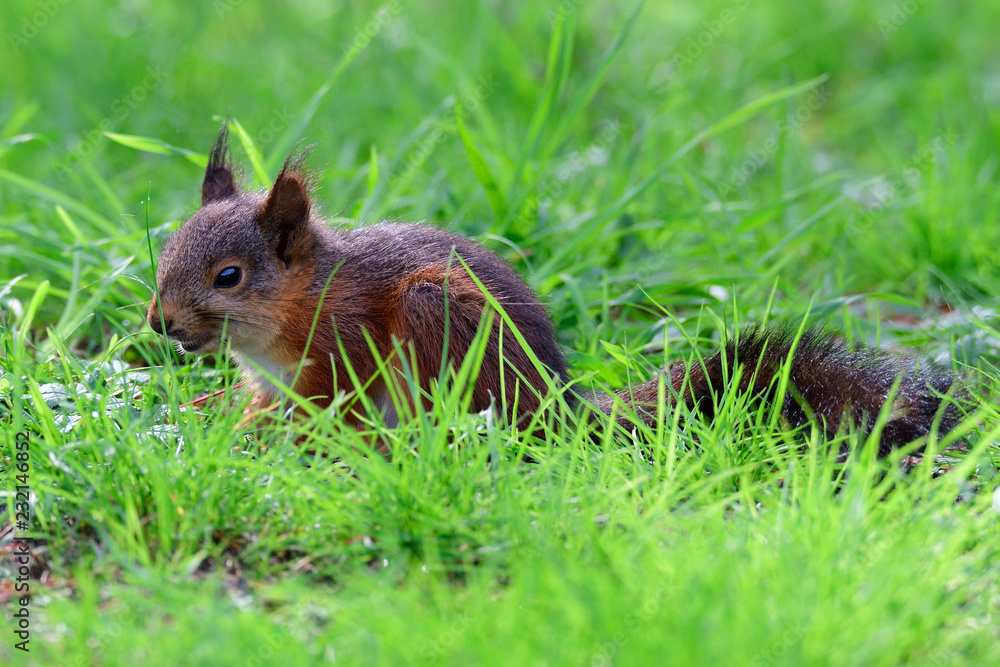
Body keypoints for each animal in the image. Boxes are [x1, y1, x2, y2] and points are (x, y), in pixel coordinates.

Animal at [147, 129, 966, 454]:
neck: (297, 302)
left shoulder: (339, 353)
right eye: (167, 249)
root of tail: (555, 402)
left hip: (437, 315)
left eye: (228, 276)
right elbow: (255, 402)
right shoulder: (270, 377)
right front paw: (216, 415)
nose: (160, 323)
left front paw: (273, 438)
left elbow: (326, 408)